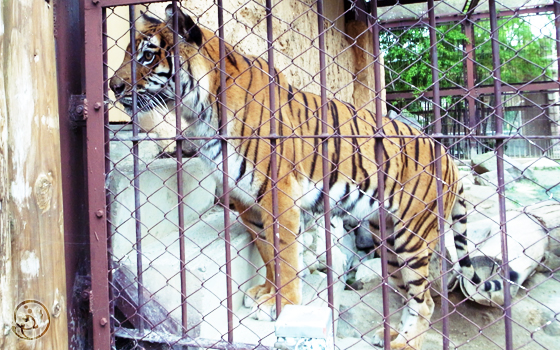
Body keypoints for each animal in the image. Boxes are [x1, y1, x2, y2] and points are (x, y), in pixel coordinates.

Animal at [110, 6, 504, 350]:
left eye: (147, 56)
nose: (113, 87)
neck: (200, 108)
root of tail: (449, 156)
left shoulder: (278, 194)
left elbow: (285, 257)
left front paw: (283, 305)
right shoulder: (246, 200)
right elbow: (268, 252)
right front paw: (265, 294)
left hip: (413, 234)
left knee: (426, 302)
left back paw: (405, 343)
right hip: (388, 237)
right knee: (409, 295)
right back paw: (389, 335)